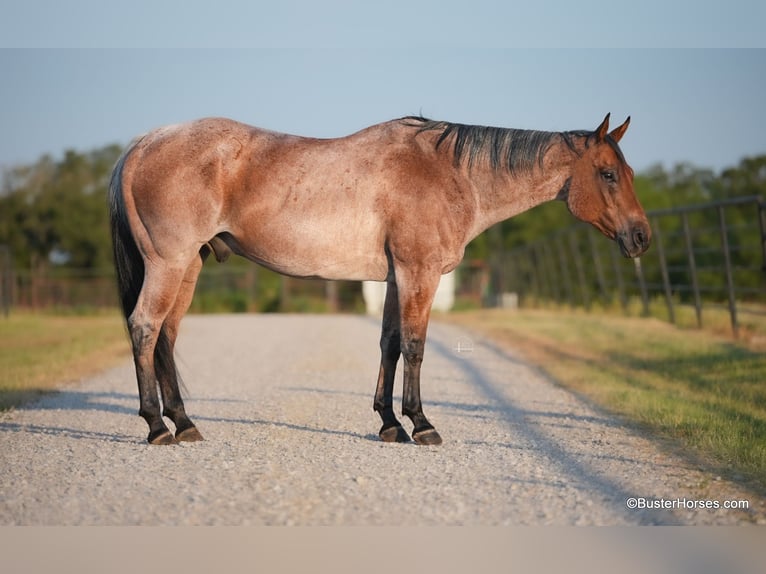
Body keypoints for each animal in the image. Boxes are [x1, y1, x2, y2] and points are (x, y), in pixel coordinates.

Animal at [108, 112, 652, 446]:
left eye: (625, 174)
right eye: (608, 174)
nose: (641, 237)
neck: (451, 173)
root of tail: (144, 144)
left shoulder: (395, 278)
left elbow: (390, 342)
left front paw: (390, 423)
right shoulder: (418, 272)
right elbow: (414, 344)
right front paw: (422, 424)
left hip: (189, 265)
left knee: (166, 336)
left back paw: (184, 423)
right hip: (170, 262)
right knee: (144, 327)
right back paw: (157, 427)